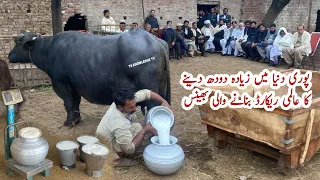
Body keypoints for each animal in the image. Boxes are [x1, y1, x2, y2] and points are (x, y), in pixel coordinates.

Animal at [7, 29, 170, 126]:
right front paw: (77, 120)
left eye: (18, 42)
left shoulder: (60, 83)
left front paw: (68, 122)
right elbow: (75, 103)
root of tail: (156, 42)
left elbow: (68, 103)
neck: (48, 50)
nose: (9, 55)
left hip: (151, 94)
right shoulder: (75, 85)